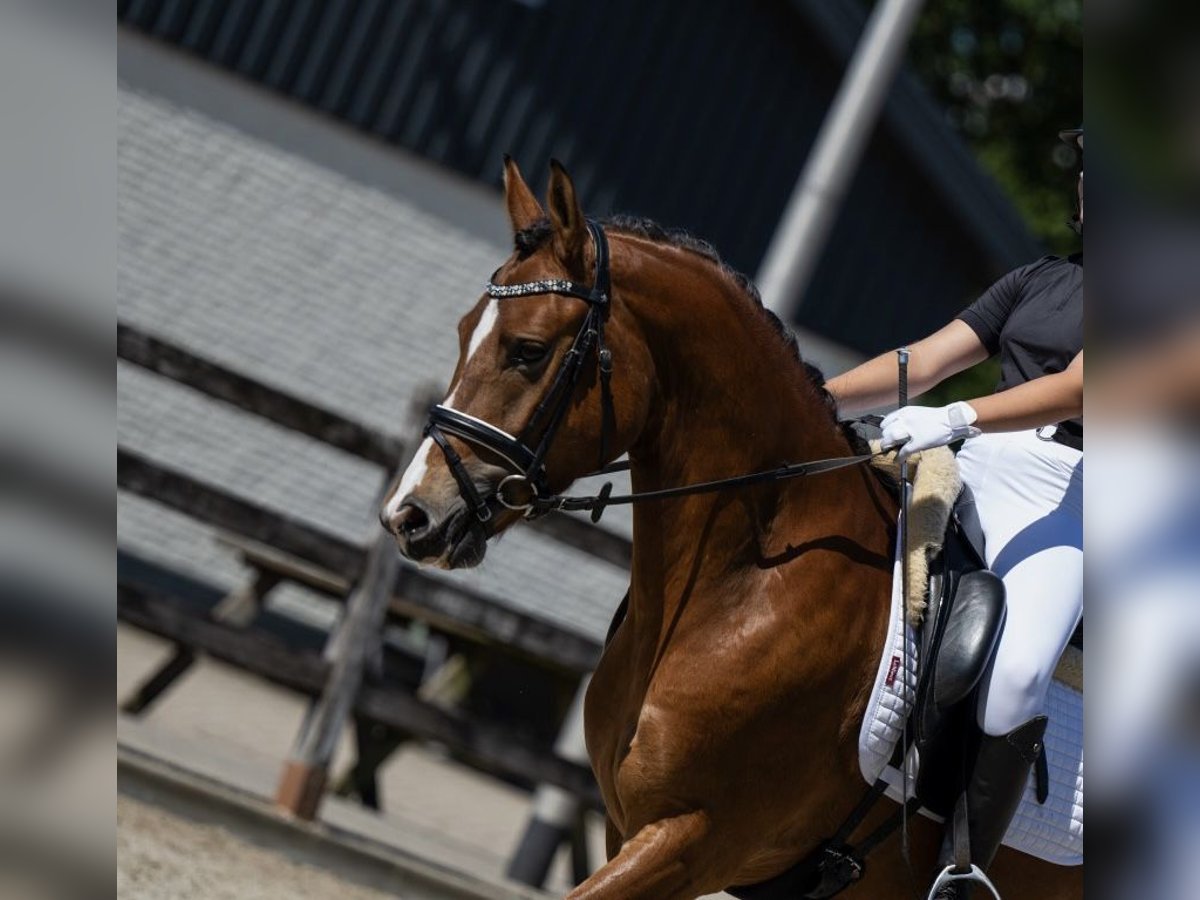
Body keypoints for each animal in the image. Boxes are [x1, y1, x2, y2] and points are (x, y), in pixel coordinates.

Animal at [379, 160, 1084, 900]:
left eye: (528, 351)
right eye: (466, 330)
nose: (410, 515)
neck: (751, 581)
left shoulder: (693, 840)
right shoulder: (627, 828)